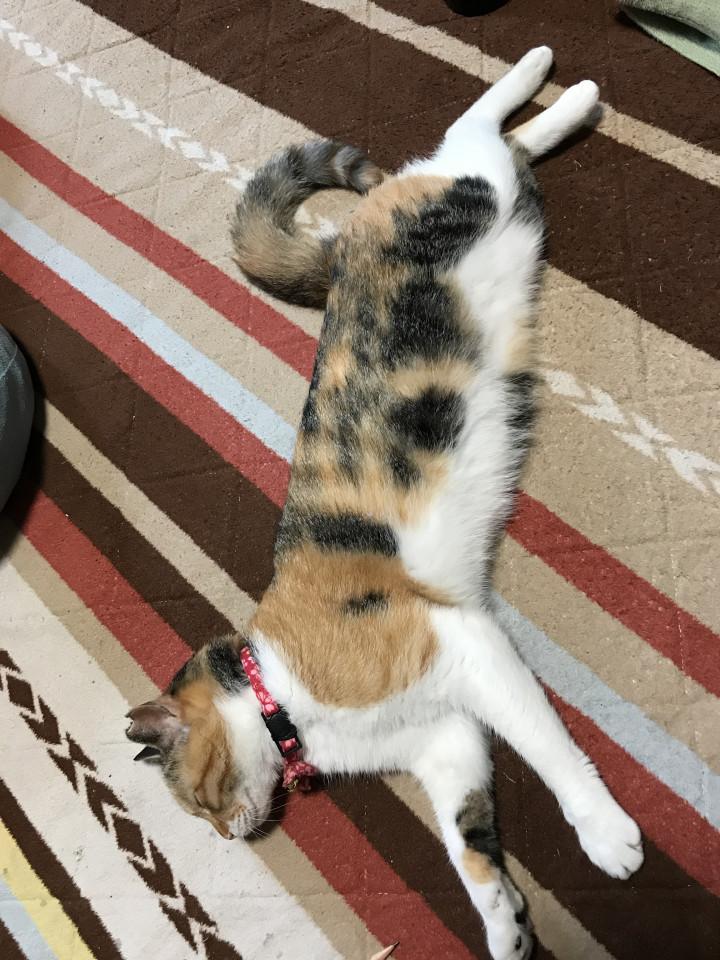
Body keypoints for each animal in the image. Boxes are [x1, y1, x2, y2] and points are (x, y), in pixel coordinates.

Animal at [126, 47, 643, 960]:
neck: (285, 701)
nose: (228, 837)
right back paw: (569, 108)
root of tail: (350, 239)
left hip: (465, 190)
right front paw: (504, 923)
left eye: (198, 800)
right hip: (499, 200)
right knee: (511, 148)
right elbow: (466, 842)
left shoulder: (466, 643)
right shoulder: (447, 742)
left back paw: (555, 74)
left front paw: (604, 834)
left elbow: (551, 753)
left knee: (473, 126)